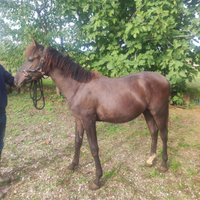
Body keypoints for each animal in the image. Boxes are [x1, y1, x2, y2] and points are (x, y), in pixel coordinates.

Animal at [14, 38, 170, 190]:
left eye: (30, 58)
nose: (16, 80)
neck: (78, 87)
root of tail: (164, 79)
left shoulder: (89, 121)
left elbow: (94, 148)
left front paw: (96, 179)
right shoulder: (78, 119)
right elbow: (77, 142)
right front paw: (73, 165)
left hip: (158, 112)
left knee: (163, 134)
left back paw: (163, 164)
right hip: (147, 112)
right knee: (153, 132)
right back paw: (150, 160)